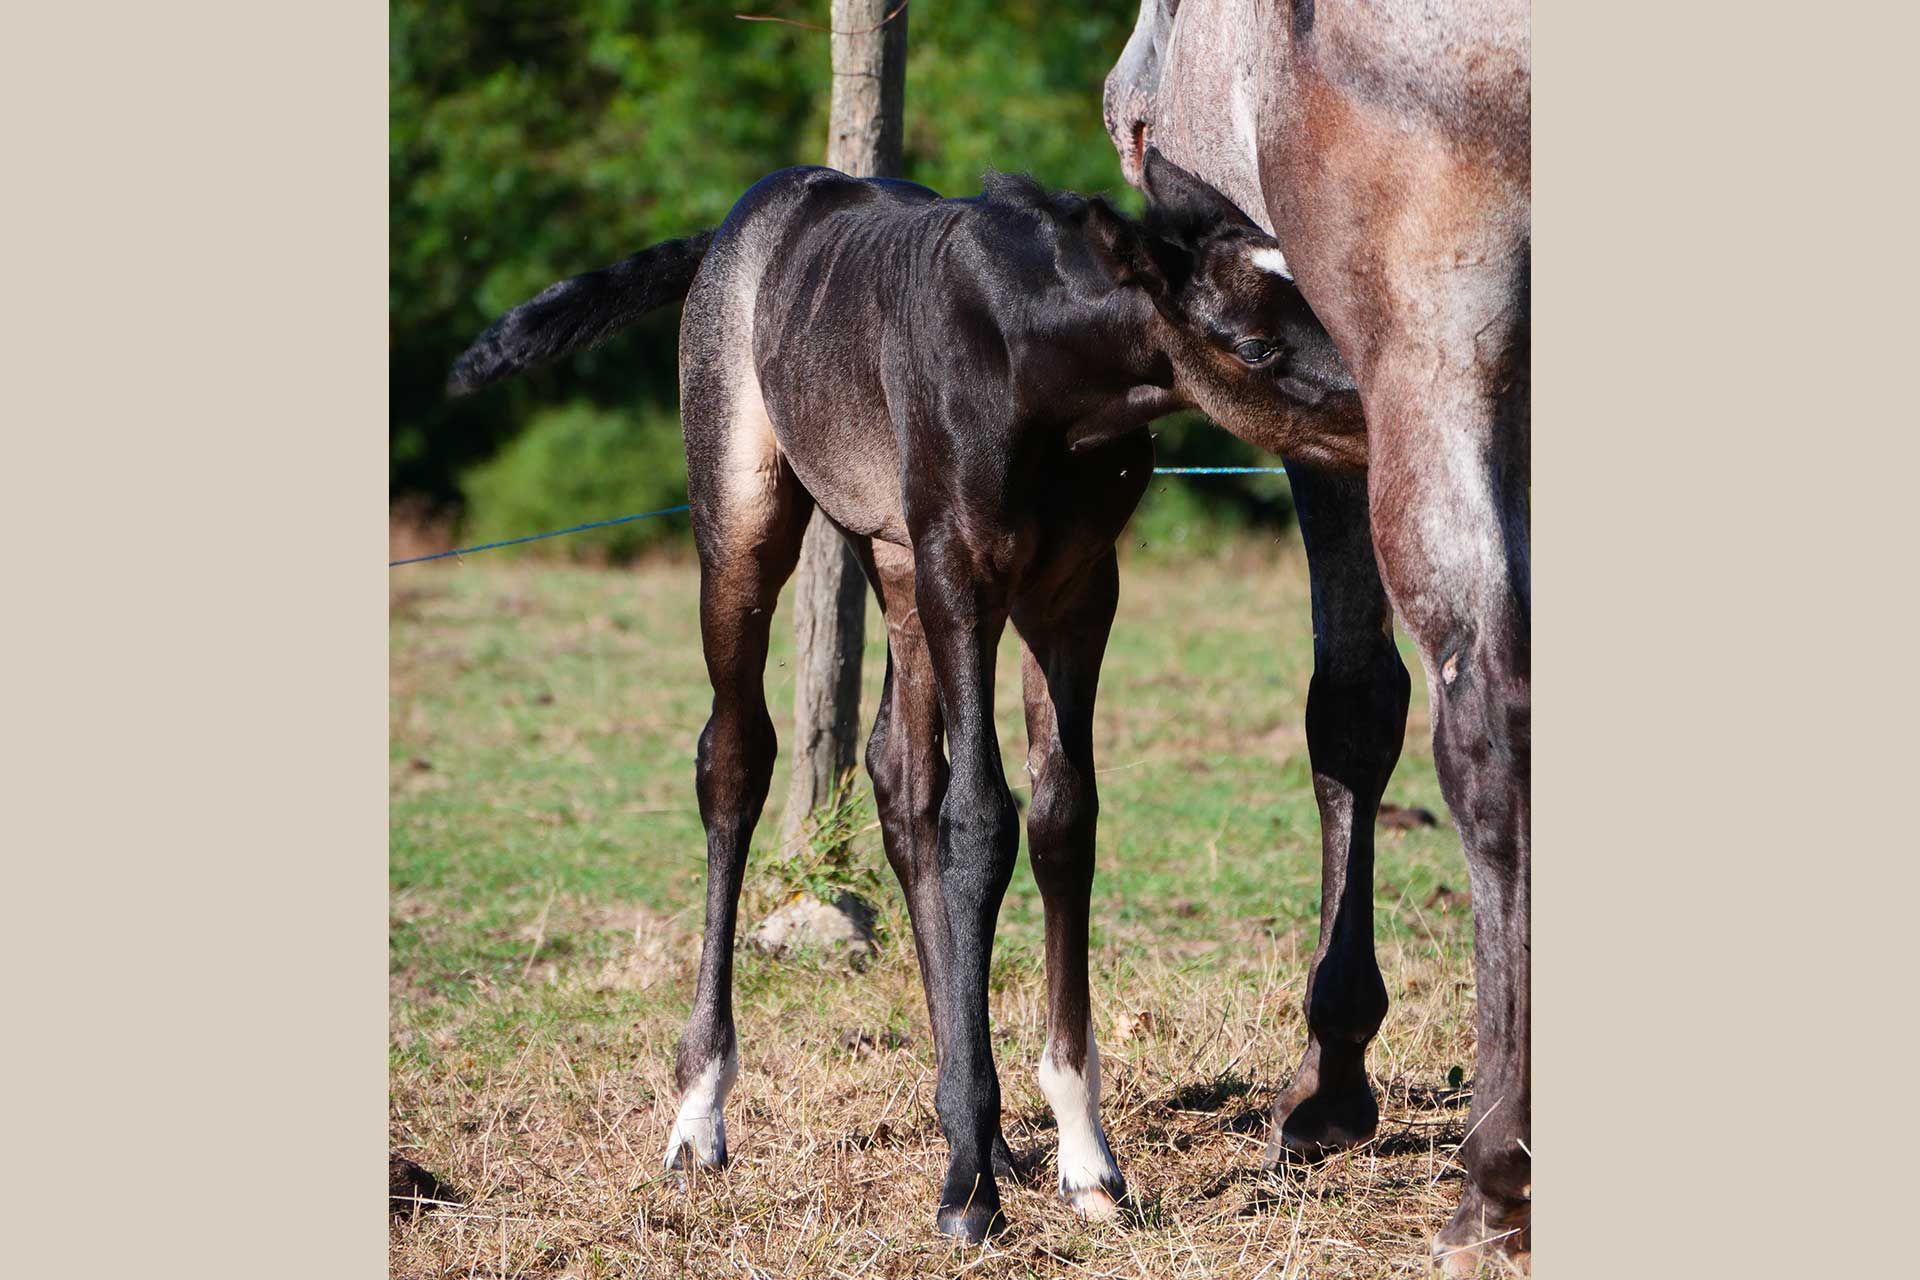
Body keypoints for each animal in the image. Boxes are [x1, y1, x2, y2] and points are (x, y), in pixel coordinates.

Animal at [453, 152, 1367, 1243]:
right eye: (1258, 343)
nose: (1385, 418)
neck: (1040, 369)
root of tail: (742, 220)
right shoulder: (962, 572)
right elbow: (980, 820)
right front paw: (968, 1191)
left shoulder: (1074, 587)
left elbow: (1062, 818)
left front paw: (1082, 1157)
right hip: (748, 521)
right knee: (736, 759)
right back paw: (701, 1119)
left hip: (890, 561)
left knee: (896, 774)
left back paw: (988, 1137)